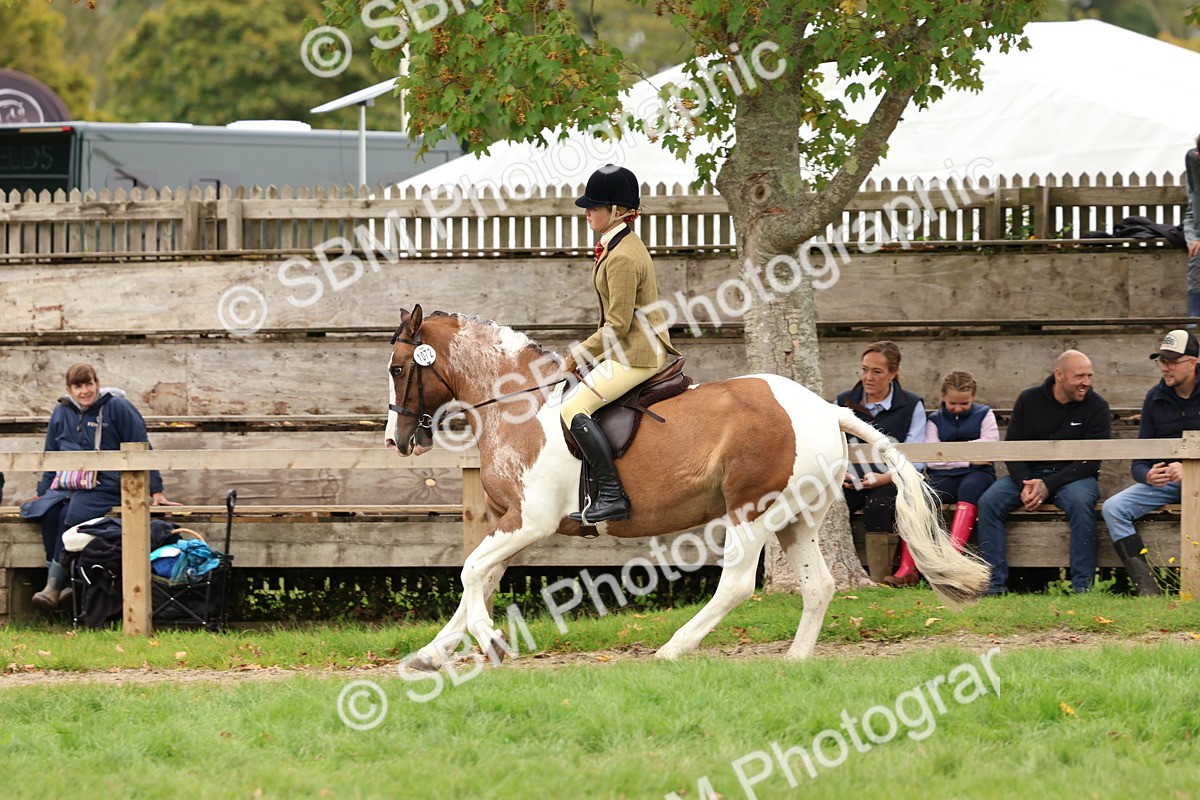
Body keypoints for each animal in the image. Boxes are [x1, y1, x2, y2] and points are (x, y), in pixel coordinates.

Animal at [385, 305, 989, 670]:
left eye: (396, 368)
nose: (396, 440)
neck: (519, 404)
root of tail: (823, 408)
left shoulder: (528, 522)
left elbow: (471, 574)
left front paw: (489, 642)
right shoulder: (512, 523)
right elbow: (479, 579)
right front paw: (430, 654)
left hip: (751, 511)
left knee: (737, 585)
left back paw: (673, 648)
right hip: (797, 518)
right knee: (818, 586)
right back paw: (795, 658)